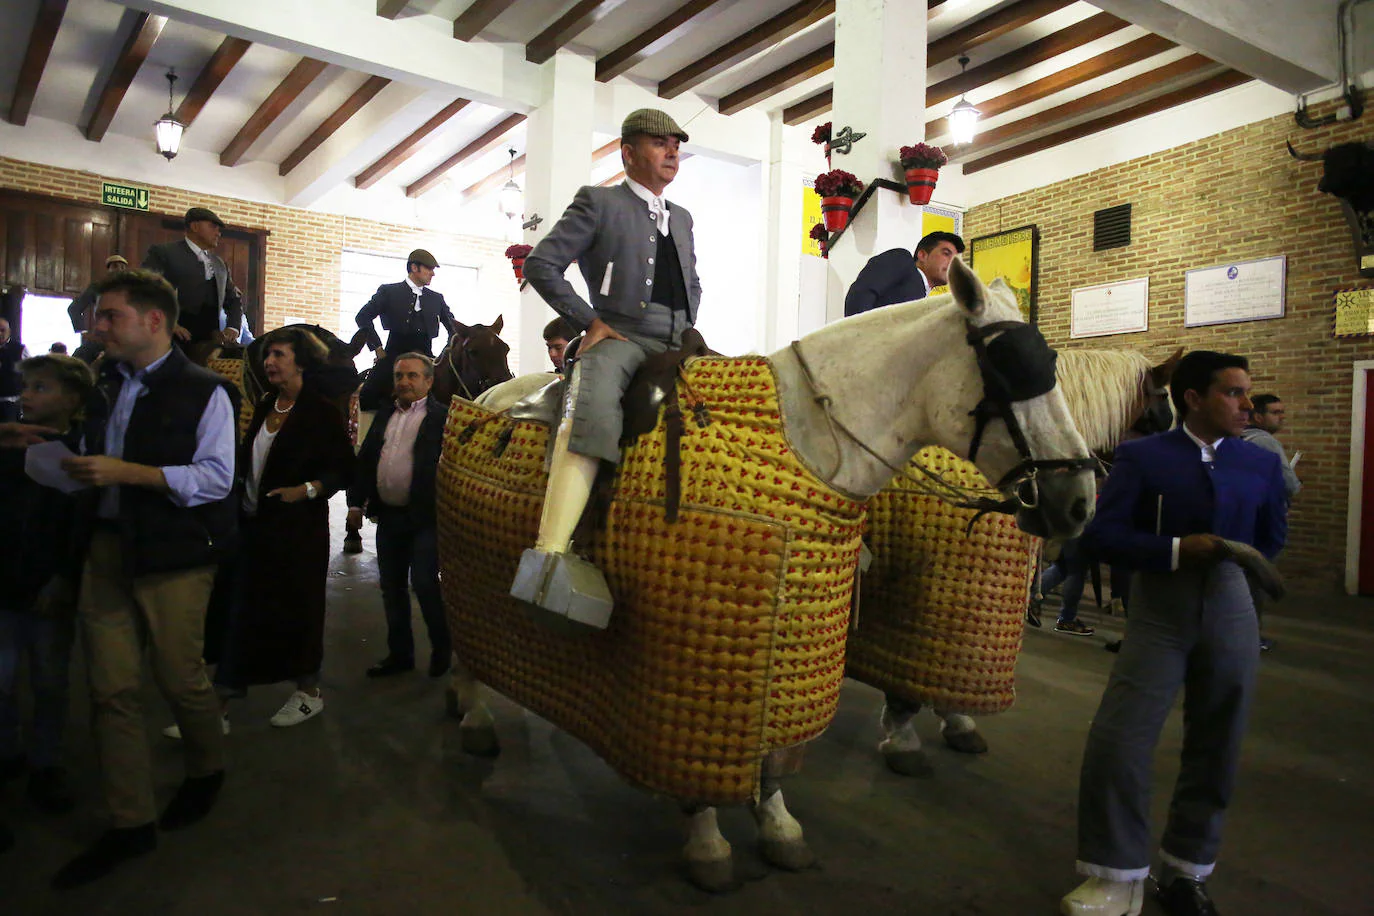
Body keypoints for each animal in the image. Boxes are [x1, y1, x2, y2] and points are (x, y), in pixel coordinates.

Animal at [447, 260, 1093, 889]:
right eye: (1009, 367)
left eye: (1052, 365)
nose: (1080, 500)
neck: (810, 442)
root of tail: (493, 395)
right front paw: (708, 840)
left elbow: (775, 757)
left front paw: (779, 824)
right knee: (462, 636)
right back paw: (474, 714)